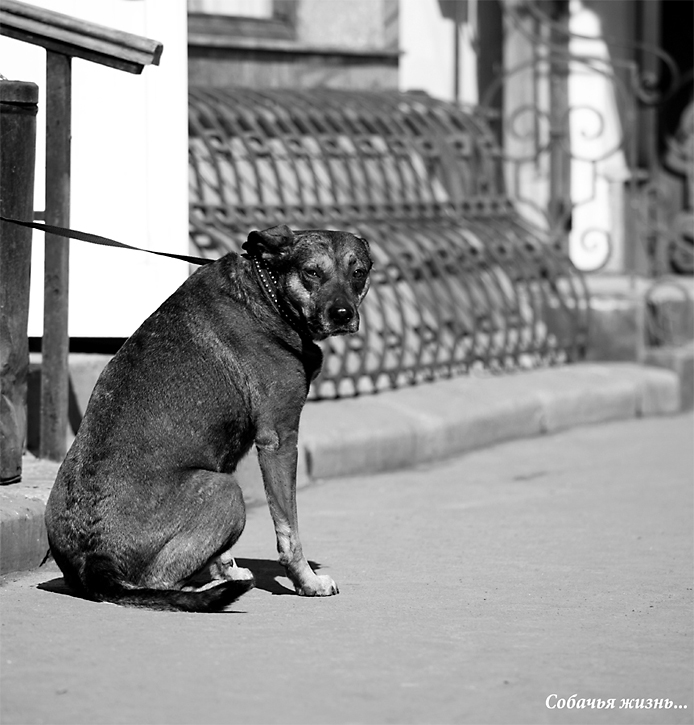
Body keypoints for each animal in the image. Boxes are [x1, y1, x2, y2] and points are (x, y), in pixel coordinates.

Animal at [45, 223, 372, 608]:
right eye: (311, 272)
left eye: (358, 272)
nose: (342, 315)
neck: (268, 292)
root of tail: (95, 561)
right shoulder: (279, 440)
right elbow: (288, 529)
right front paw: (306, 581)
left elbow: (222, 551)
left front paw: (227, 570)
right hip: (225, 491)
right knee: (158, 580)